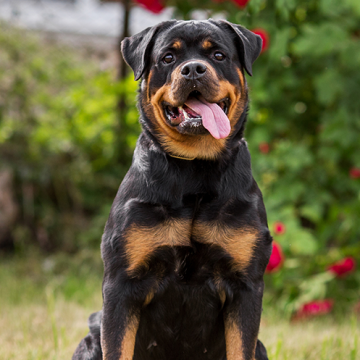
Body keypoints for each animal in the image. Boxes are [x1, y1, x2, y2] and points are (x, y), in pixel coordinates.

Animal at [71, 19, 272, 360]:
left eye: (218, 55)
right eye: (168, 58)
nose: (192, 69)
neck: (195, 171)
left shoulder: (246, 284)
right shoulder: (121, 284)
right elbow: (118, 347)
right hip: (91, 338)